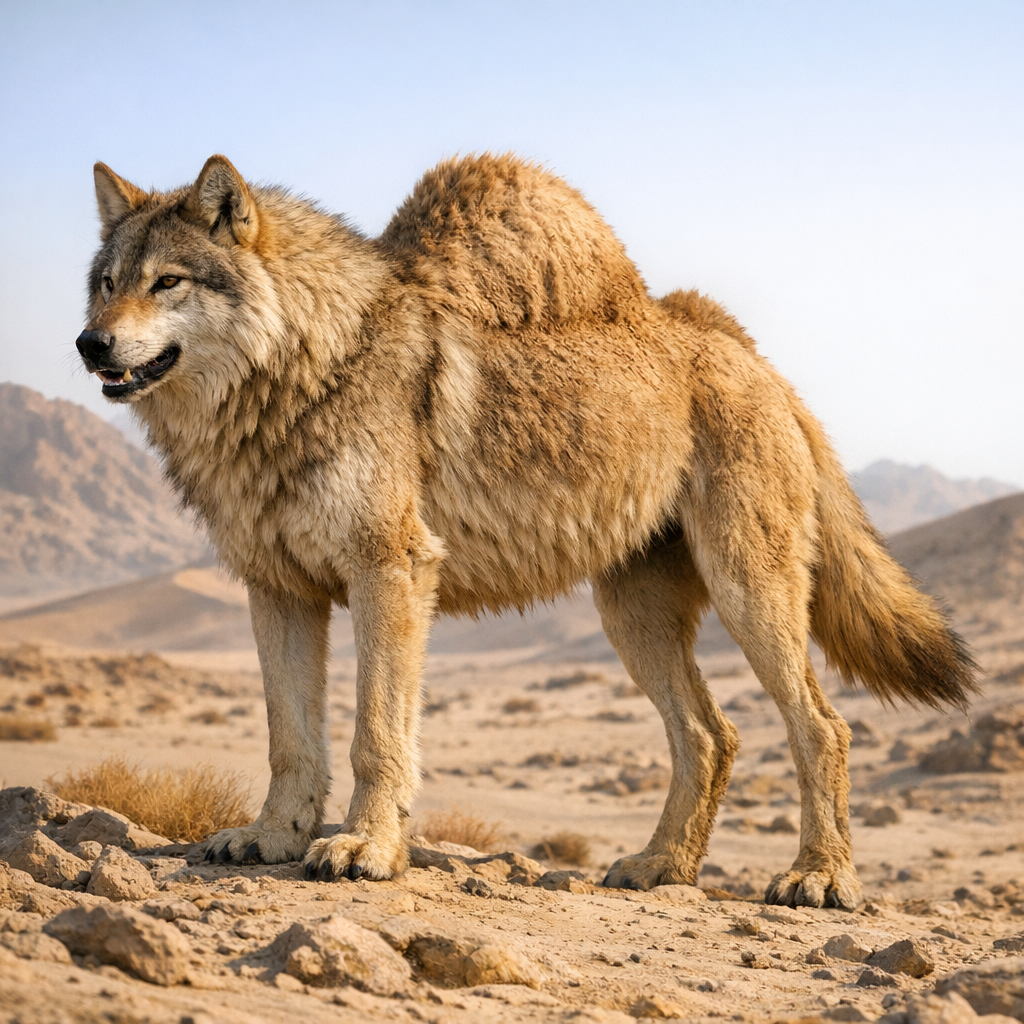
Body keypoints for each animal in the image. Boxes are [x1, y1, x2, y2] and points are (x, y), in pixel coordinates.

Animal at [76, 153, 974, 908]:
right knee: (709, 736)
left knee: (820, 728)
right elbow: (290, 739)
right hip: (633, 619)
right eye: (107, 282)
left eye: (168, 281)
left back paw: (818, 878)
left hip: (749, 594)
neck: (304, 370)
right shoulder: (278, 590)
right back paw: (662, 867)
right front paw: (270, 839)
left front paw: (367, 849)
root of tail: (746, 351)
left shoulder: (391, 571)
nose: (90, 344)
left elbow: (375, 735)